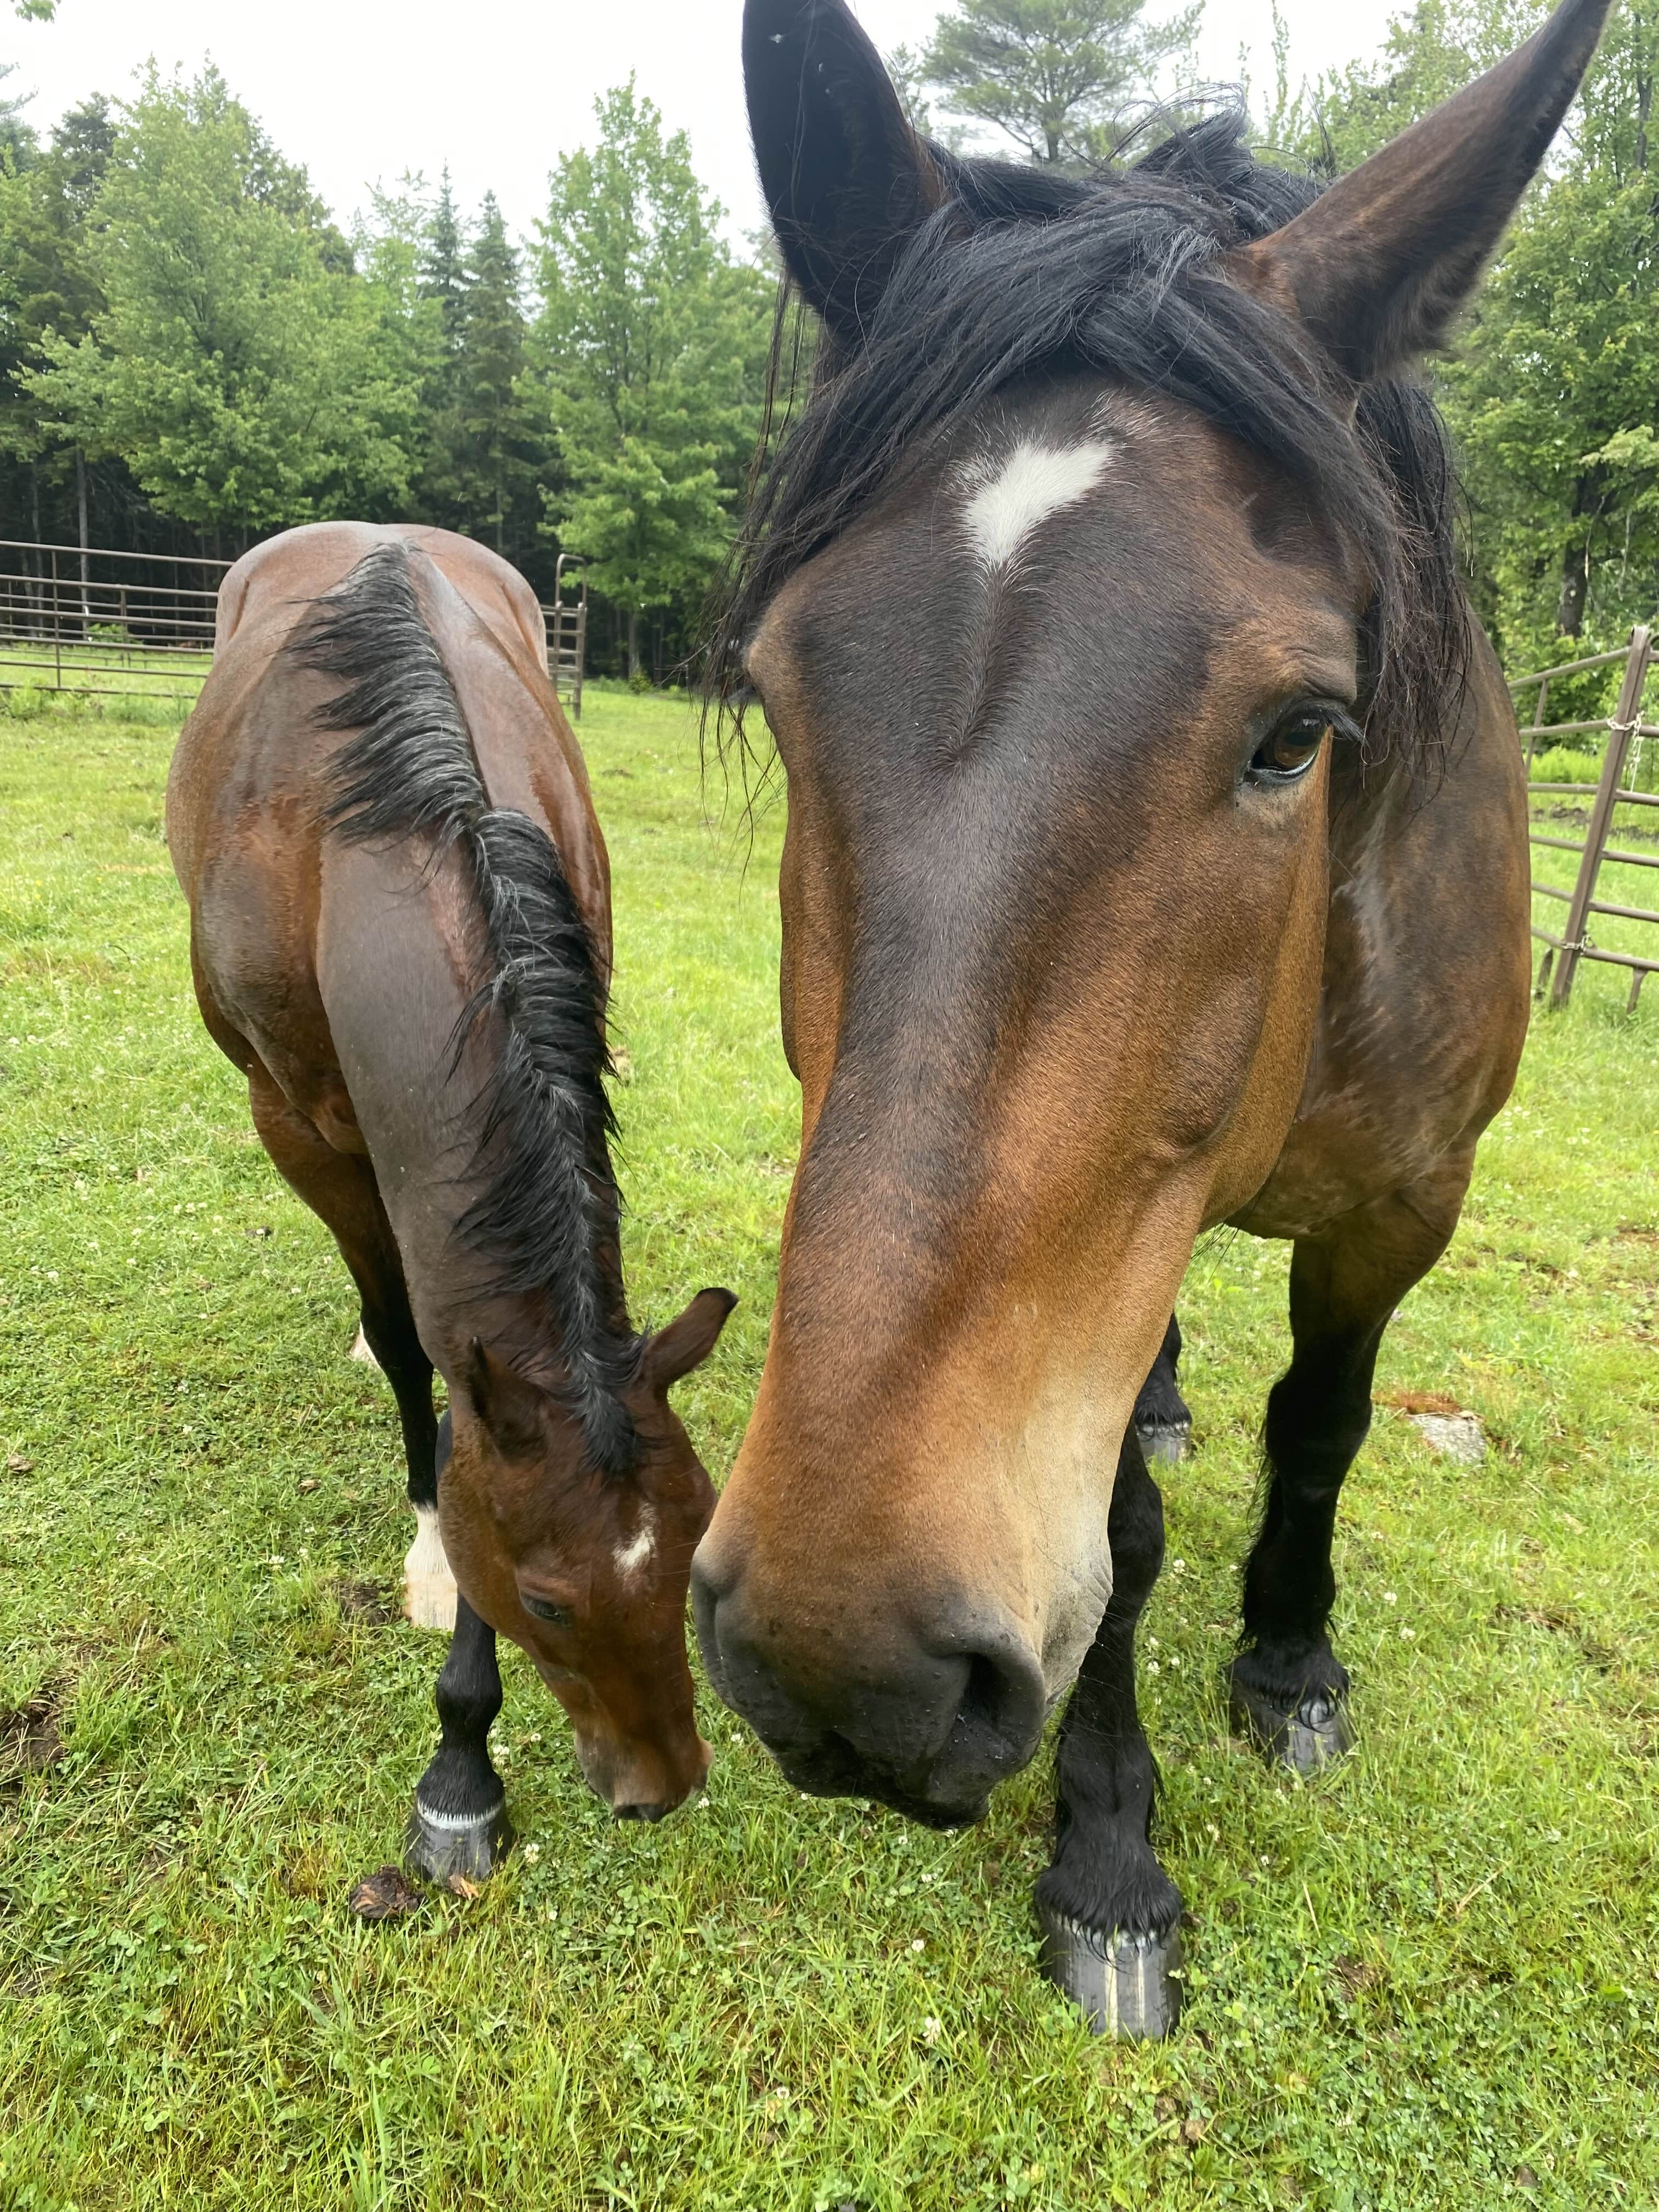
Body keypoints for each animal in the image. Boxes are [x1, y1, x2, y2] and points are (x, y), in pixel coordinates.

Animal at [168, 522, 734, 1879]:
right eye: (544, 1601)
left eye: (694, 1543)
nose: (663, 1786)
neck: (367, 831)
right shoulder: (301, 1130)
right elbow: (410, 1341)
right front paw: (458, 1742)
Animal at [692, 0, 1612, 2037]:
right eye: (783, 694)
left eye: (1297, 732)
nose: (846, 1659)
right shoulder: (1105, 1256)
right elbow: (1111, 1534)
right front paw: (1111, 1853)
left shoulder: (1402, 1208)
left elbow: (1326, 1425)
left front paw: (1289, 1661)